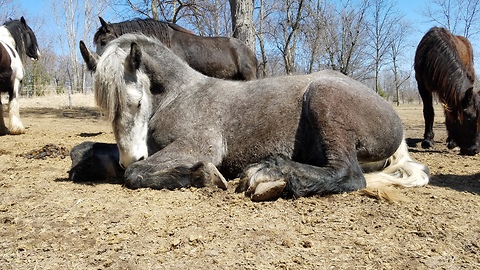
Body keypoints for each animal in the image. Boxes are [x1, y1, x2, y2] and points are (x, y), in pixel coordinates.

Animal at [79, 34, 432, 200]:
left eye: (137, 102)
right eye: (106, 111)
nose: (130, 156)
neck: (180, 94)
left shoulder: (198, 146)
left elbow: (136, 174)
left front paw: (202, 176)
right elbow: (94, 153)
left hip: (323, 98)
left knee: (348, 175)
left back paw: (266, 174)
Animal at [412, 26, 480, 156]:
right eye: (469, 117)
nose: (474, 150)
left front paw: (452, 141)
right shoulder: (422, 85)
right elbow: (428, 111)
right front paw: (428, 140)